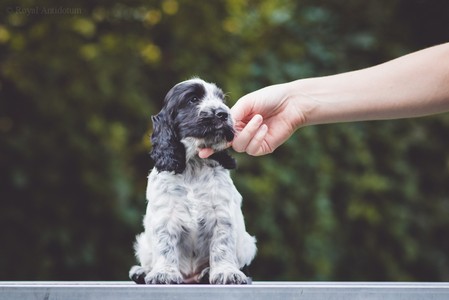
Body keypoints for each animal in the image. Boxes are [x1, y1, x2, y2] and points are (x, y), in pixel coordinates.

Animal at [129, 77, 256, 284]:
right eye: (193, 99)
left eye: (221, 100)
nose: (223, 114)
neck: (194, 165)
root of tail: (191, 277)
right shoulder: (166, 214)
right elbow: (165, 245)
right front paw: (164, 273)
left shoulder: (221, 214)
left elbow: (222, 245)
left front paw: (227, 272)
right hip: (145, 245)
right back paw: (142, 271)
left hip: (246, 244)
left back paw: (206, 273)